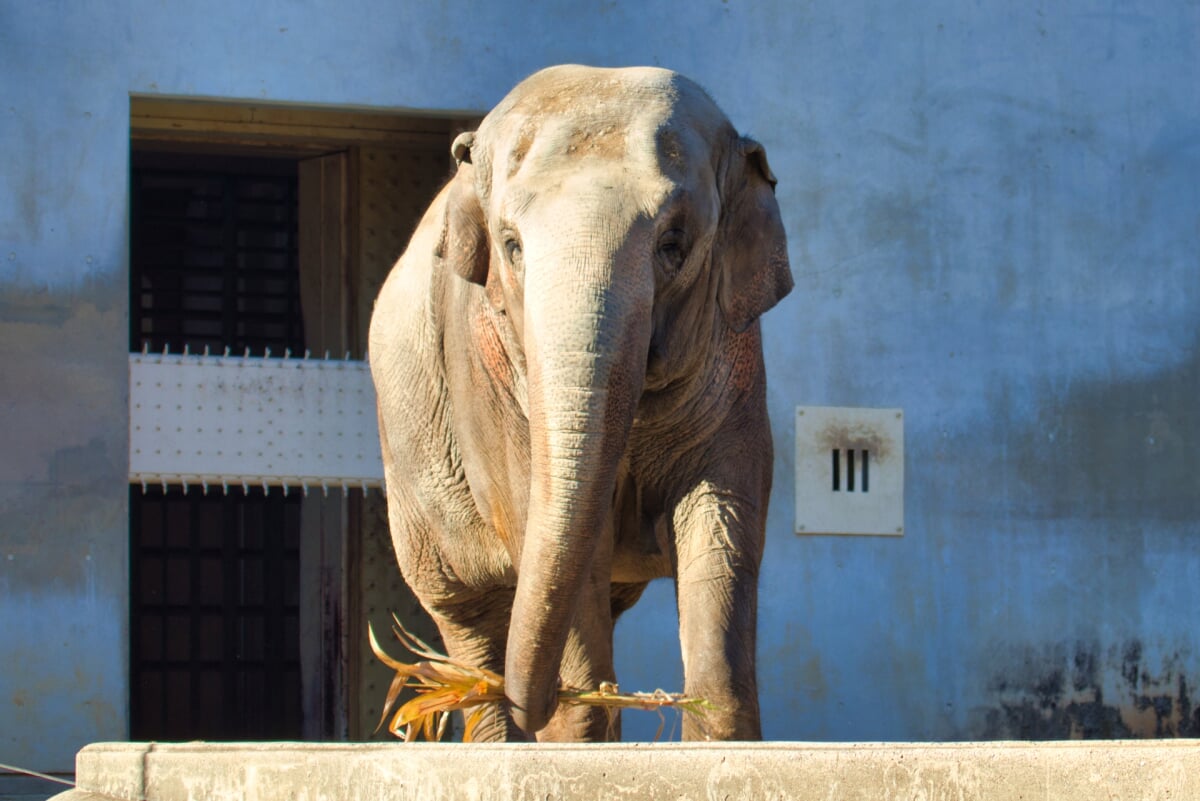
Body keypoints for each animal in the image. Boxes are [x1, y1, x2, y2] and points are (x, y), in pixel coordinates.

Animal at [369, 64, 792, 743]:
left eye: (674, 242)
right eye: (511, 245)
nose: (542, 699)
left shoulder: (735, 365)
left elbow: (722, 524)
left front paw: (714, 729)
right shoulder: (488, 378)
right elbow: (554, 543)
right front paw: (578, 729)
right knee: (467, 618)